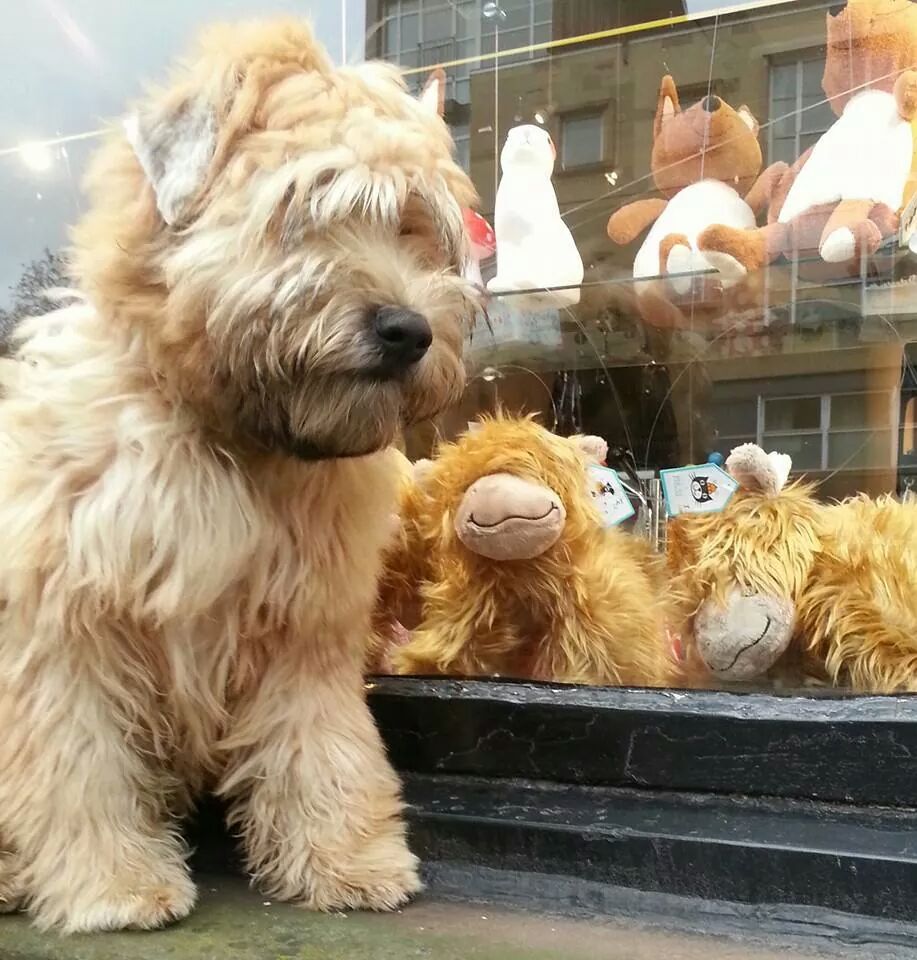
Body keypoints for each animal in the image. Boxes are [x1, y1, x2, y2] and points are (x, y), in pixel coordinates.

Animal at [1, 18, 480, 932]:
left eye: (414, 226)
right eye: (308, 205)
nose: (407, 330)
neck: (225, 437)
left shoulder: (304, 628)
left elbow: (321, 746)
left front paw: (346, 859)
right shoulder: (65, 631)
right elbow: (79, 763)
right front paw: (113, 883)